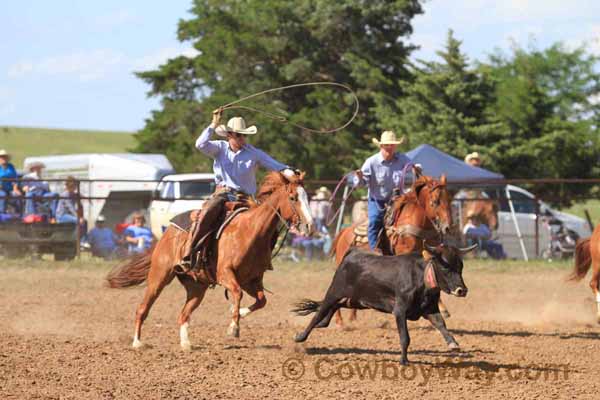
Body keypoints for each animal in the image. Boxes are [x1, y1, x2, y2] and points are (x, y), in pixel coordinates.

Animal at [107, 172, 314, 350]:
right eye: (293, 198)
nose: (310, 226)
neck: (250, 231)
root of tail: (167, 232)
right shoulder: (225, 274)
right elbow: (237, 293)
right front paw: (233, 327)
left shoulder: (252, 280)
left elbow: (261, 300)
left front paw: (239, 313)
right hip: (159, 276)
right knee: (143, 308)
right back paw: (137, 342)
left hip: (197, 287)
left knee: (183, 314)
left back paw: (186, 344)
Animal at [330, 174, 452, 324]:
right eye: (435, 202)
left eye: (449, 199)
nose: (447, 227)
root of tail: (344, 232)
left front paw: (442, 308)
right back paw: (339, 321)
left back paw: (353, 318)